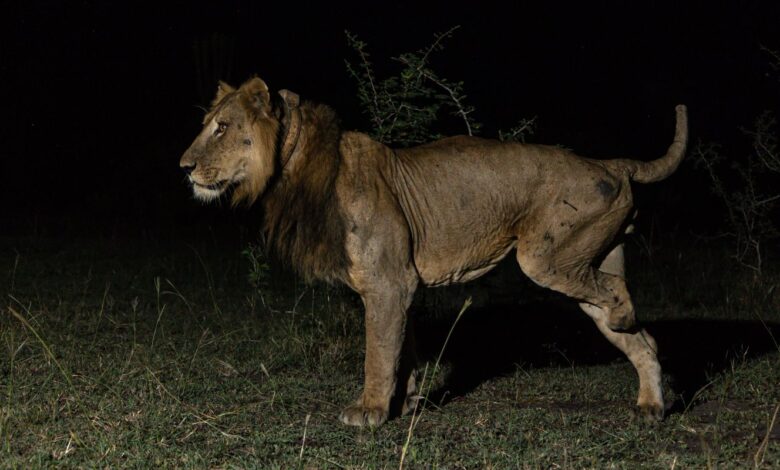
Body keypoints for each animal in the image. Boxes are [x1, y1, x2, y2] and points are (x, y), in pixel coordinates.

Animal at [180, 77, 684, 426]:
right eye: (207, 126)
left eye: (221, 128)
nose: (184, 167)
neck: (296, 168)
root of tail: (608, 163)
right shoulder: (400, 285)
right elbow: (402, 347)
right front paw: (405, 401)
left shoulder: (388, 283)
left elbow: (378, 352)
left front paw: (369, 410)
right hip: (585, 259)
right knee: (642, 338)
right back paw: (650, 405)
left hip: (546, 257)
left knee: (617, 294)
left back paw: (626, 321)